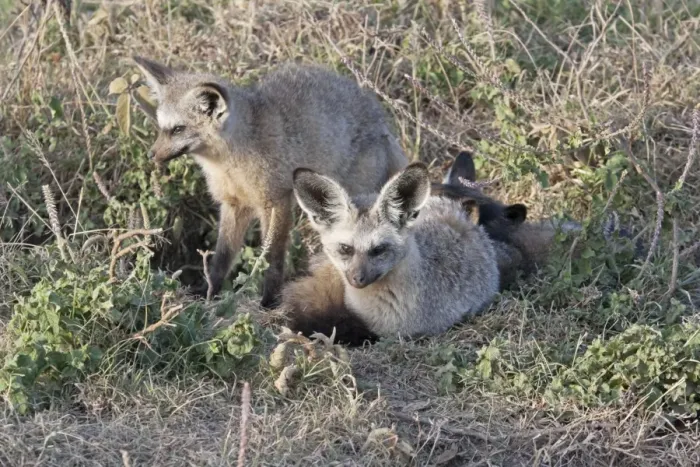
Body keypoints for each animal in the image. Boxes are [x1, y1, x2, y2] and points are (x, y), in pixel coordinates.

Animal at [131, 57, 408, 308]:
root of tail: (383, 124)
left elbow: (272, 259)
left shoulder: (277, 201)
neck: (232, 162)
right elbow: (222, 257)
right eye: (161, 128)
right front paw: (209, 293)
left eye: (178, 129)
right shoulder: (234, 204)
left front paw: (269, 301)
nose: (151, 155)